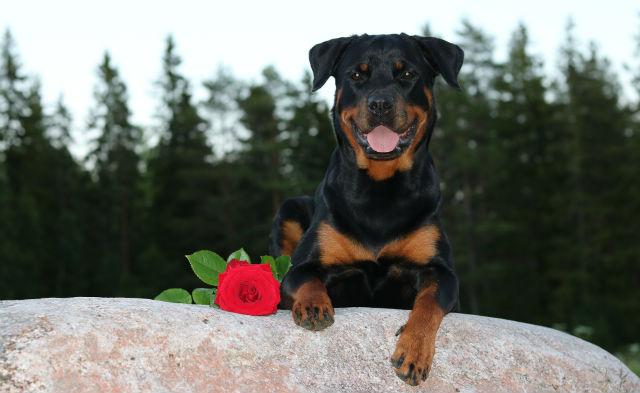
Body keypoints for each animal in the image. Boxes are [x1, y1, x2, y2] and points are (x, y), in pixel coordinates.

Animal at [268, 33, 462, 382]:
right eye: (357, 75)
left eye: (407, 74)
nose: (380, 104)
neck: (380, 187)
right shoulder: (303, 266)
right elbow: (305, 278)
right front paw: (314, 306)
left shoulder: (441, 271)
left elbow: (429, 303)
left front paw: (414, 351)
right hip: (290, 208)